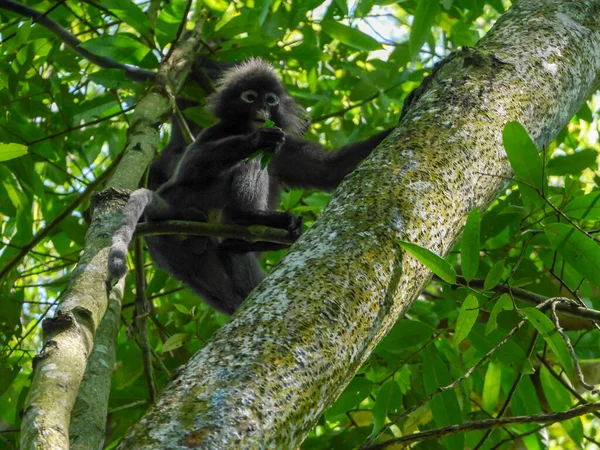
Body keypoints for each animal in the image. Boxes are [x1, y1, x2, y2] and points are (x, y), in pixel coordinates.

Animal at [109, 58, 394, 314]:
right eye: (250, 97)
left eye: (270, 100)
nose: (262, 111)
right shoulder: (216, 132)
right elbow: (192, 165)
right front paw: (257, 139)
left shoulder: (286, 147)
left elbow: (331, 169)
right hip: (187, 199)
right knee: (249, 163)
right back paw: (249, 217)